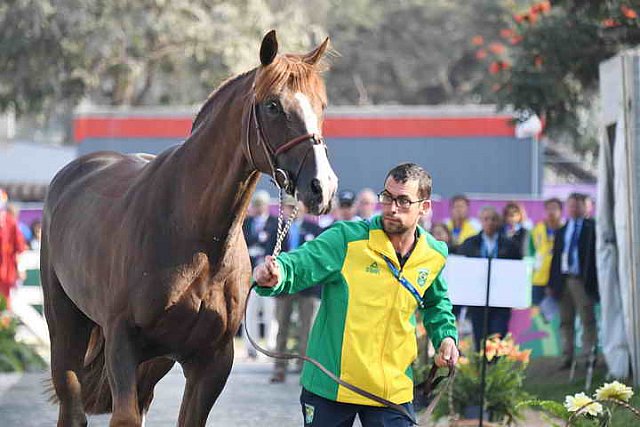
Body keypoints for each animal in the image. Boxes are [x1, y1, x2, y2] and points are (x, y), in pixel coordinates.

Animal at [42, 30, 338, 427]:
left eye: (322, 105)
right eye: (273, 105)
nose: (322, 186)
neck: (195, 235)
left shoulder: (211, 360)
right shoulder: (123, 343)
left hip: (156, 359)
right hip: (66, 327)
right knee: (72, 406)